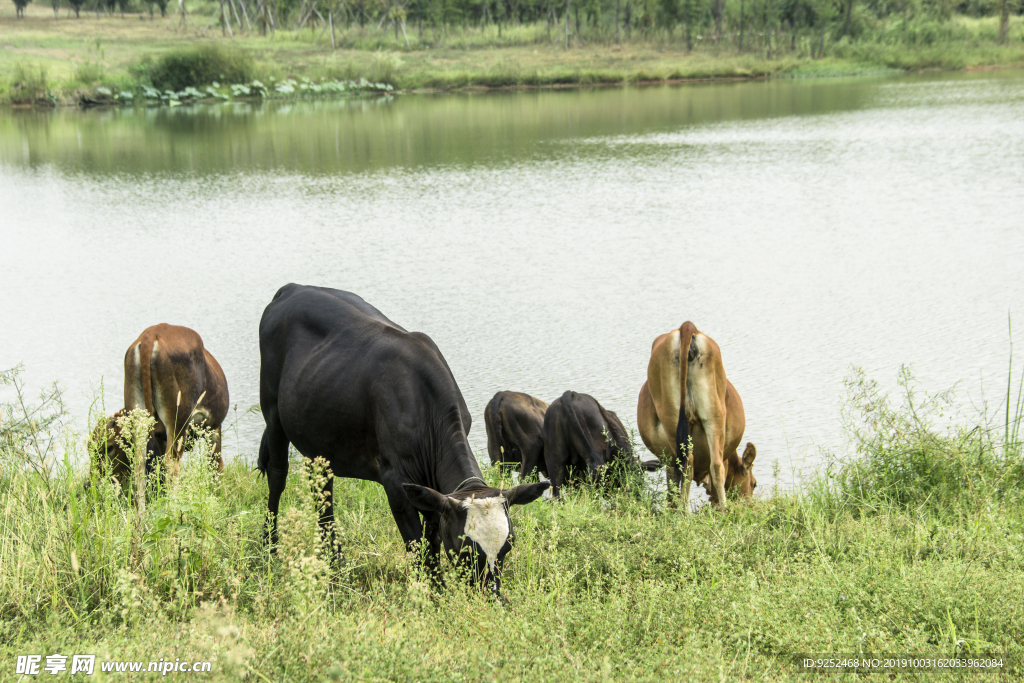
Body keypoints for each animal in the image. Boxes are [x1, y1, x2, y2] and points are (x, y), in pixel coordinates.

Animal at [122, 325, 229, 475]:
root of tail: (151, 333)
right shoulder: (214, 426)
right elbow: (216, 466)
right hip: (178, 420)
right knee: (171, 464)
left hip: (137, 416)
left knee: (139, 463)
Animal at [256, 286, 548, 593]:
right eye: (466, 550)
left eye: (507, 546)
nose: (492, 596)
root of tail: (293, 288)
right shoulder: (395, 482)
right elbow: (415, 544)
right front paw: (431, 592)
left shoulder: (431, 491)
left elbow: (432, 540)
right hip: (273, 412)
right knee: (277, 476)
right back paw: (270, 548)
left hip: (318, 436)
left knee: (322, 488)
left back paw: (335, 560)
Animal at [634, 323, 757, 509]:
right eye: (754, 484)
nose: (750, 505)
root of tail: (687, 326)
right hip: (708, 416)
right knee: (708, 465)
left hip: (685, 417)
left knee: (698, 464)